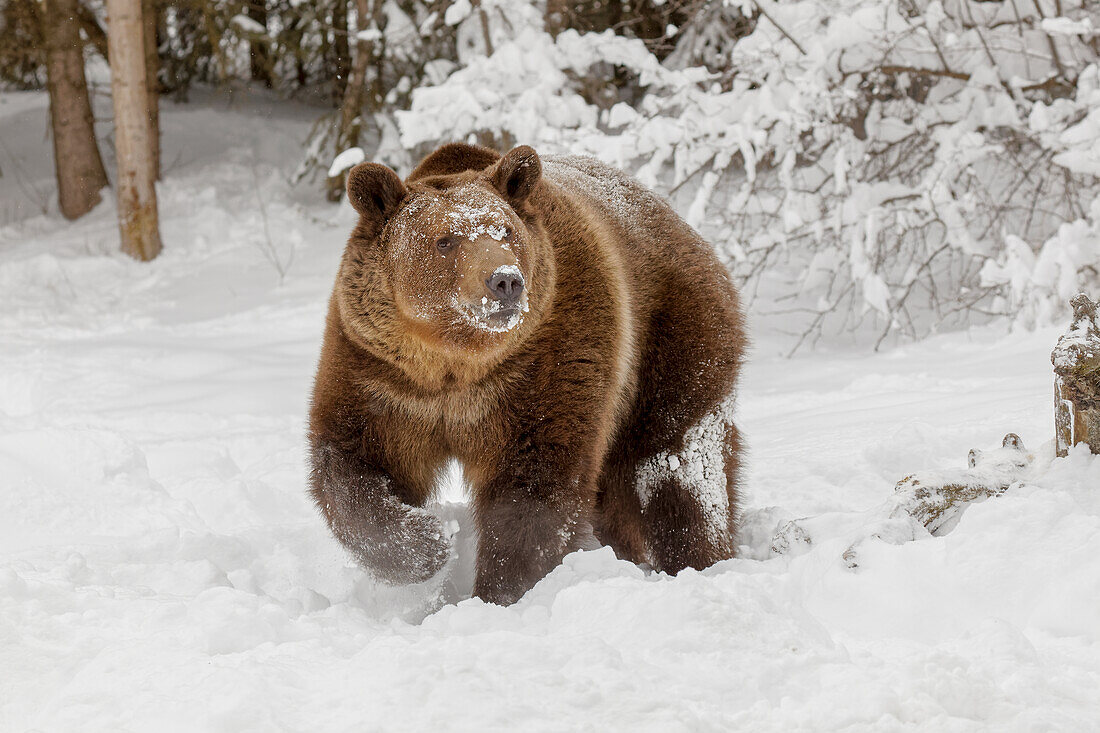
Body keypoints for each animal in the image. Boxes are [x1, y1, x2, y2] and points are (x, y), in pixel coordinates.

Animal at [305, 143, 743, 603]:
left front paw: (500, 592)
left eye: (505, 231)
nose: (505, 281)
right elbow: (354, 465)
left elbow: (533, 487)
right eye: (445, 240)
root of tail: (678, 220)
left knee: (676, 466)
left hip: (673, 338)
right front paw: (428, 544)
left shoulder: (546, 363)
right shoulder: (382, 377)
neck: (457, 364)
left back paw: (700, 561)